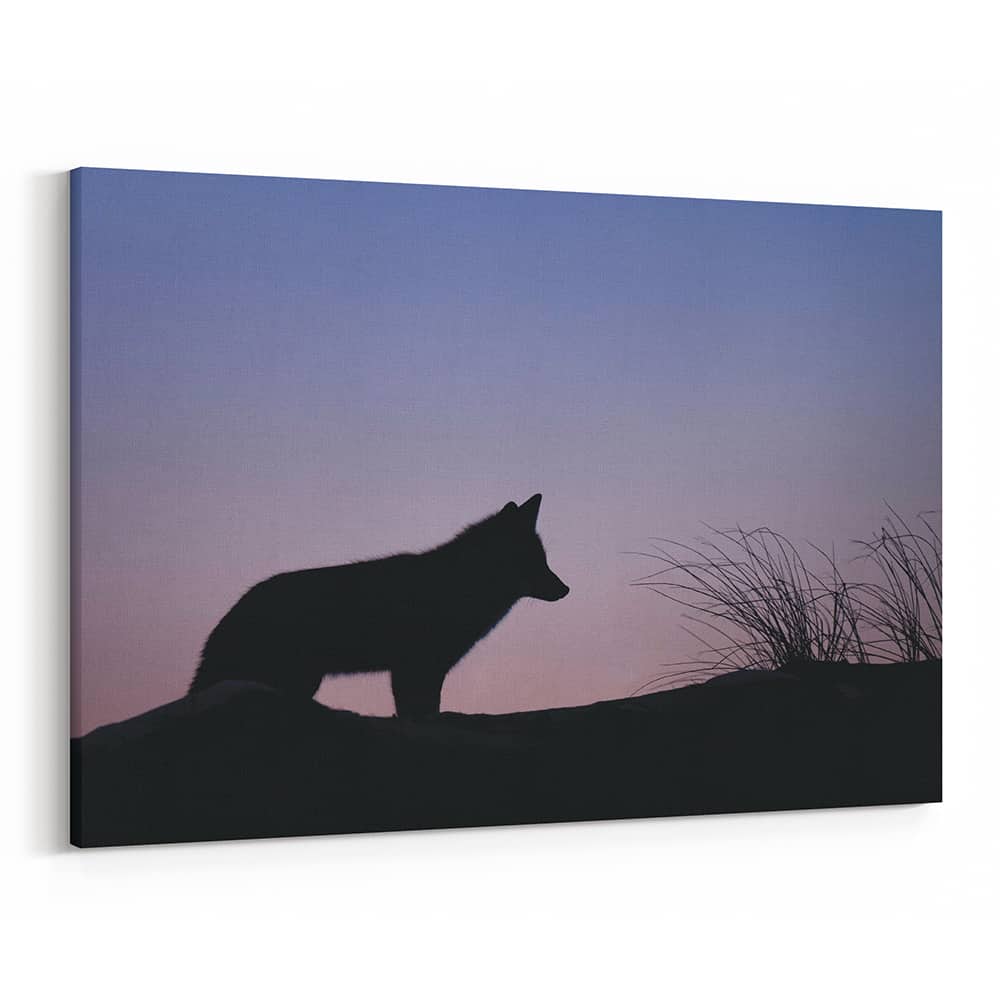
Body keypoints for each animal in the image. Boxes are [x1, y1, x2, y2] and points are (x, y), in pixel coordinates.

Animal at [189, 494, 569, 720]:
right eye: (534, 562)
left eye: (544, 561)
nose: (566, 589)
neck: (459, 587)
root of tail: (234, 609)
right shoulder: (414, 667)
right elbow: (419, 715)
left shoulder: (425, 669)